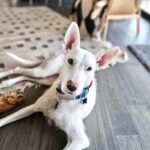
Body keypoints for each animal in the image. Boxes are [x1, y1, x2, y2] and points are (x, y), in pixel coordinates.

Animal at [0, 22, 127, 150]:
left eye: (90, 69)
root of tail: (58, 53)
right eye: (70, 61)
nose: (72, 86)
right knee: (19, 69)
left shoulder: (79, 140)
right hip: (43, 72)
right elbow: (3, 120)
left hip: (46, 79)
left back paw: (6, 83)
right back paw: (4, 79)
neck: (63, 99)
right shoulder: (32, 107)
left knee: (25, 76)